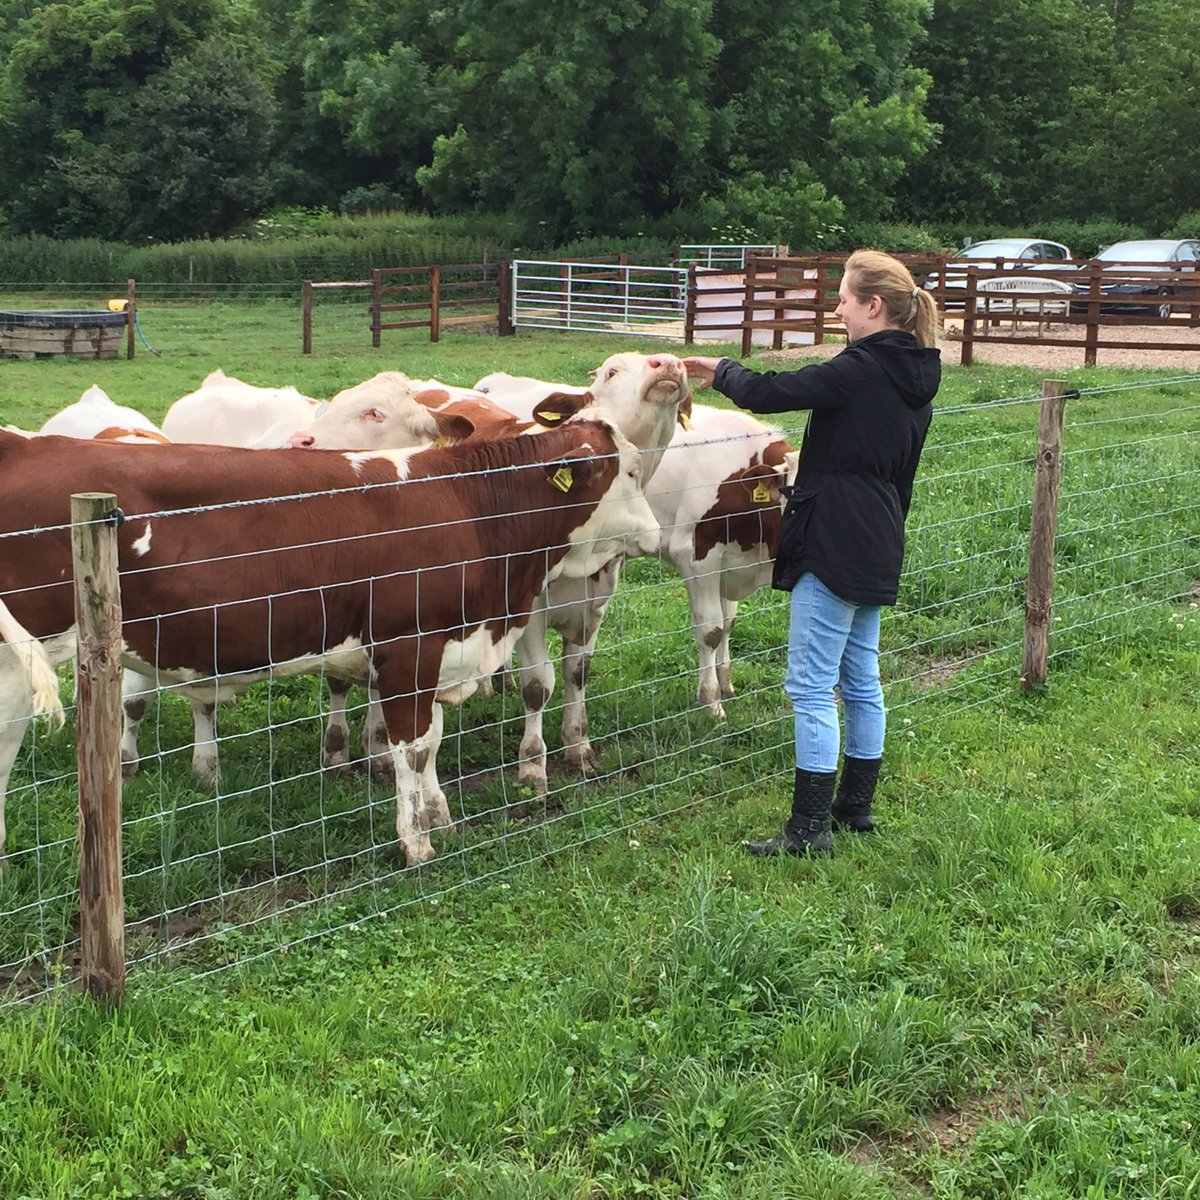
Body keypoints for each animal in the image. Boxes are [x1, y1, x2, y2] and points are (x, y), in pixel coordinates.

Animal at [0, 417, 657, 868]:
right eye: (625, 471)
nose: (654, 532)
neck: (469, 508)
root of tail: (24, 441)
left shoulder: (444, 650)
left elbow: (432, 745)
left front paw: (441, 818)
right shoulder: (408, 648)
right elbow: (411, 750)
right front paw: (416, 842)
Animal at [643, 403, 801, 720]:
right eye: (793, 493)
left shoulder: (731, 563)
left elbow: (728, 623)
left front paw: (726, 684)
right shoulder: (697, 556)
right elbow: (711, 629)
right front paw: (711, 702)